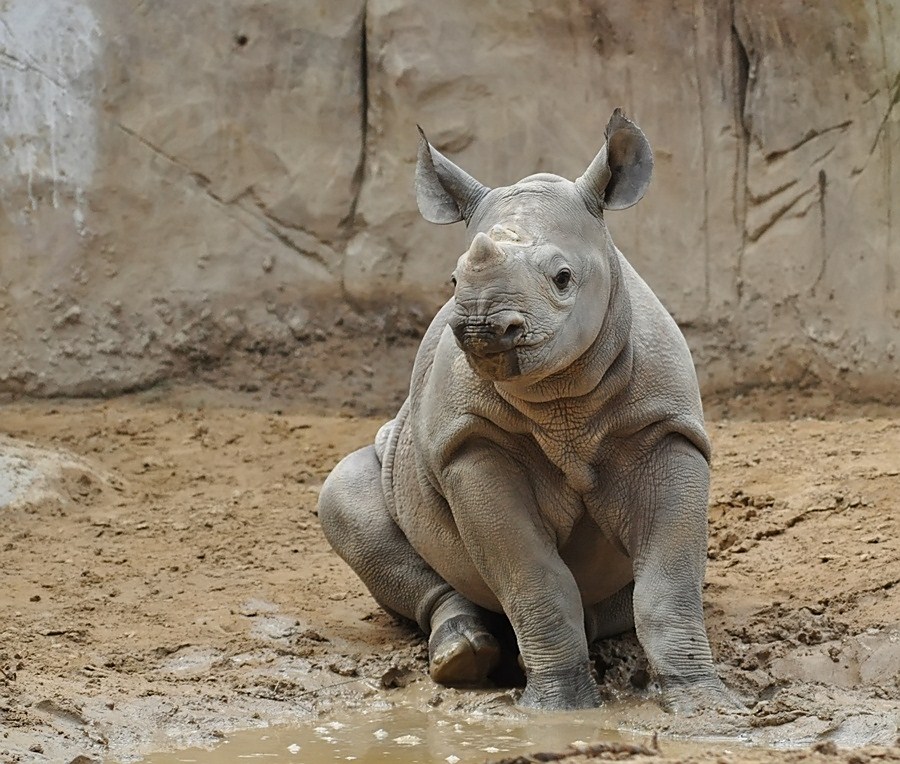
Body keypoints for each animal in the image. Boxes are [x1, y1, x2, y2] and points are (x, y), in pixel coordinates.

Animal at [320, 109, 736, 712]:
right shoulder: (472, 444)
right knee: (343, 496)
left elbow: (669, 583)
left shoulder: (666, 430)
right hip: (395, 453)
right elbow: (532, 577)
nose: (482, 325)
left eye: (563, 278)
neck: (562, 399)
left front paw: (707, 707)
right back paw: (463, 657)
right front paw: (561, 711)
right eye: (453, 280)